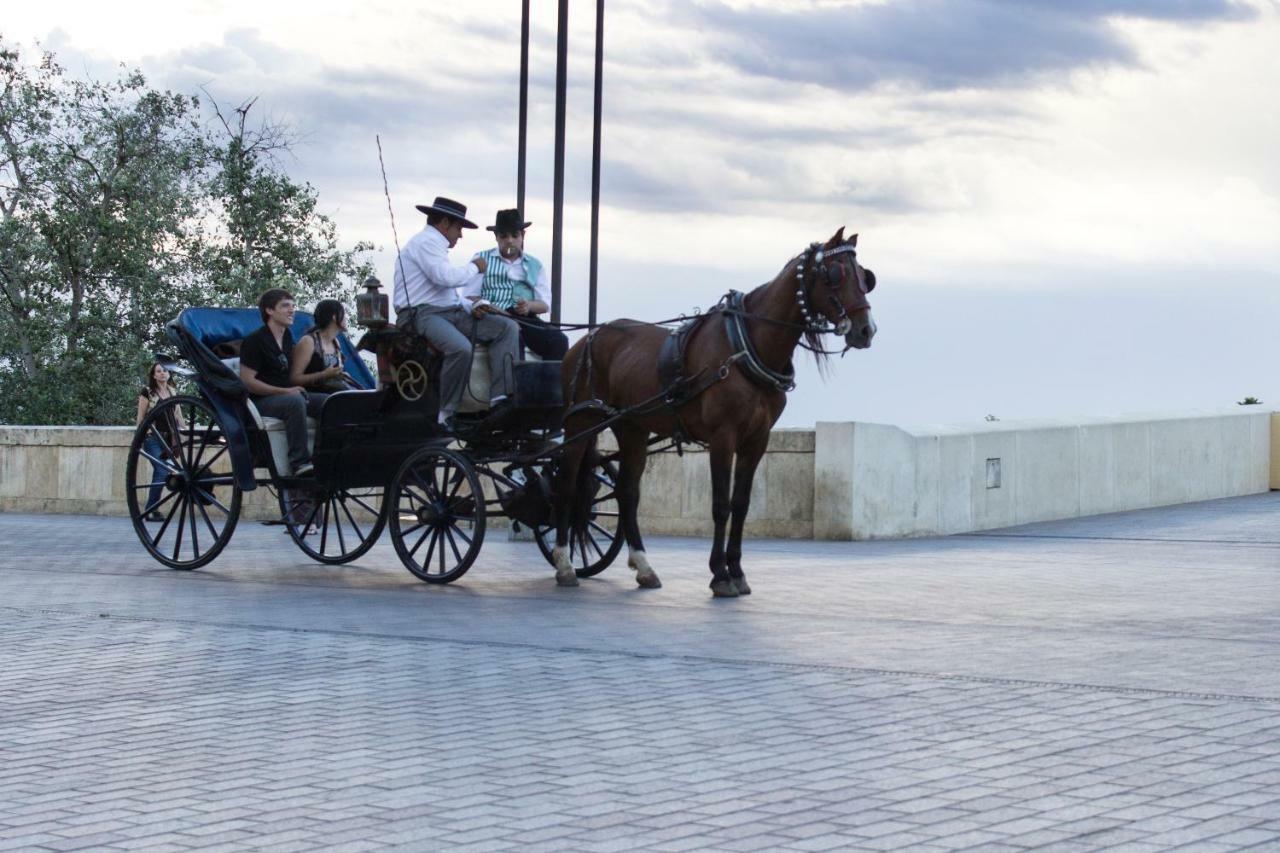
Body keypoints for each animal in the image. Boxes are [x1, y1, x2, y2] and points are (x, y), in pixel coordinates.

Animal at [550, 229, 880, 594]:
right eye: (836, 273)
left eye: (865, 276)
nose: (866, 330)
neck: (746, 345)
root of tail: (588, 338)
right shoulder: (723, 436)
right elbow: (721, 505)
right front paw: (720, 575)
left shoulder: (756, 440)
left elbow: (741, 504)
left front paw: (736, 570)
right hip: (582, 421)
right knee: (566, 484)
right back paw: (564, 564)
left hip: (631, 426)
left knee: (627, 493)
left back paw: (644, 566)